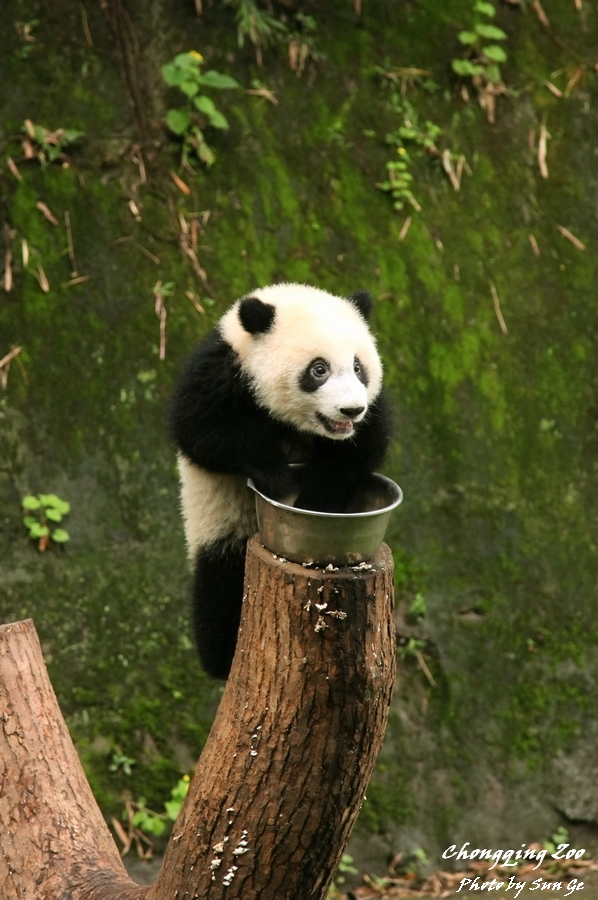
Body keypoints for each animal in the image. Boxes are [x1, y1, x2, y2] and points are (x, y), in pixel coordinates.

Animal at [171, 283, 391, 679]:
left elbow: (361, 448)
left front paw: (314, 503)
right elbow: (200, 429)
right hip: (221, 525)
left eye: (357, 367)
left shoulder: (372, 407)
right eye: (318, 369)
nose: (351, 410)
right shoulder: (220, 371)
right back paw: (221, 657)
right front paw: (276, 475)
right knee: (221, 585)